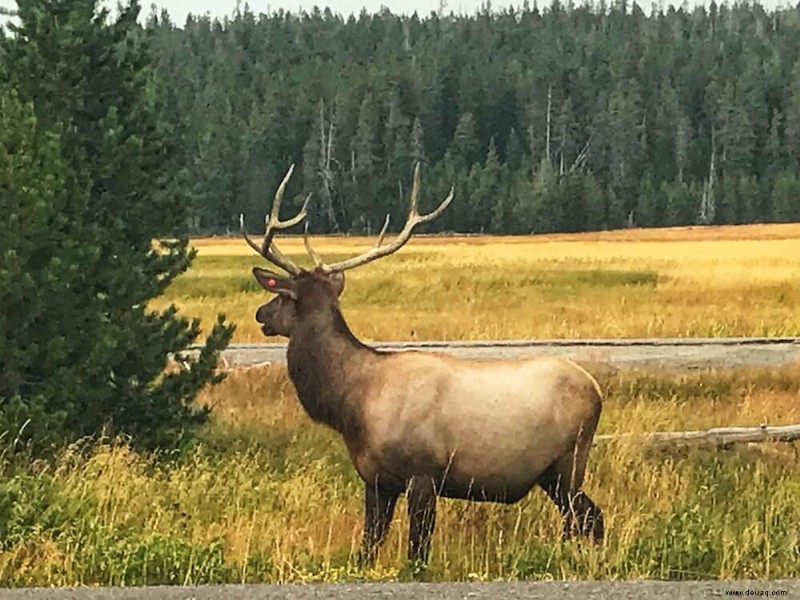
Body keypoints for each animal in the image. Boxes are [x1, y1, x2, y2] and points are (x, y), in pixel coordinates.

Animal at [241, 163, 604, 568]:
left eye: (281, 295)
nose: (260, 314)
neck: (353, 406)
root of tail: (596, 389)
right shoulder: (377, 480)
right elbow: (368, 547)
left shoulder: (423, 473)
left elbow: (417, 551)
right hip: (552, 475)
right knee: (587, 518)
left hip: (569, 462)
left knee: (587, 518)